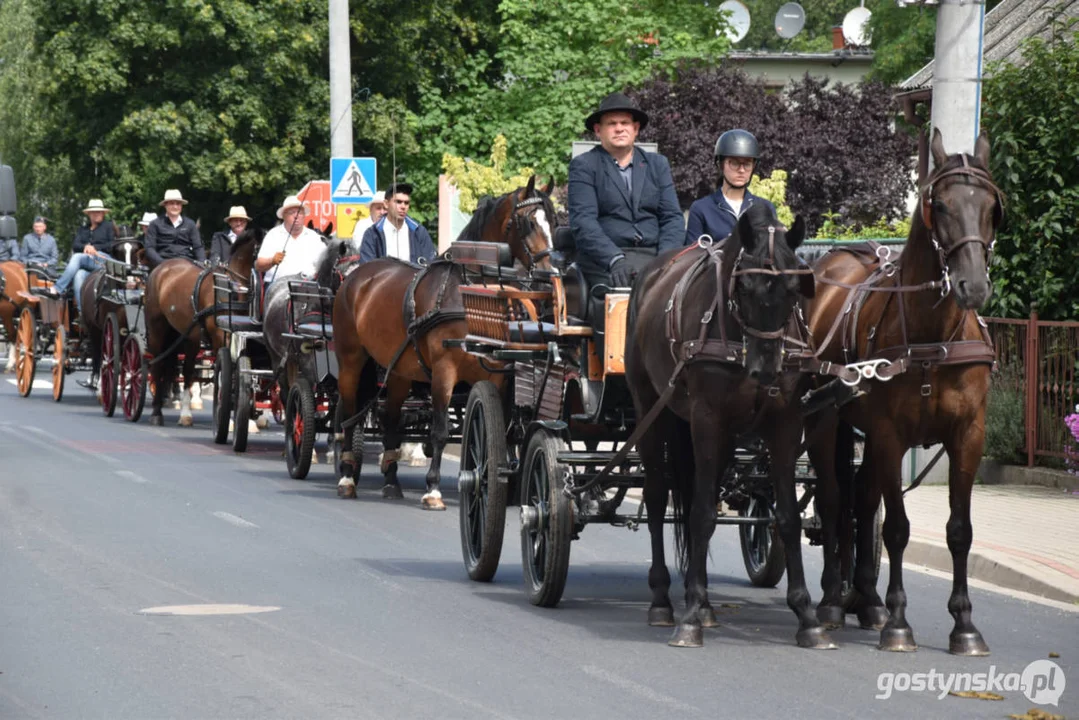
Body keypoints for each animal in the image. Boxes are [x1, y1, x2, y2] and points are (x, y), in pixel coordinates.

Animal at [143, 227, 263, 425]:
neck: (230, 286)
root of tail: (161, 269)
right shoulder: (220, 337)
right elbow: (224, 374)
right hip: (156, 330)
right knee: (158, 364)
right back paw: (156, 413)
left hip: (187, 335)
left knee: (186, 370)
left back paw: (185, 412)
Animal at [334, 177, 556, 509]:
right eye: (529, 222)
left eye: (554, 220)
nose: (549, 274)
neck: (470, 294)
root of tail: (356, 275)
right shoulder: (444, 371)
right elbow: (438, 431)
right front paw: (433, 489)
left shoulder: (496, 376)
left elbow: (497, 431)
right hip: (351, 361)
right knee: (350, 415)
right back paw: (347, 476)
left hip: (399, 370)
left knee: (391, 420)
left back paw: (391, 481)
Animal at [625, 204, 824, 651]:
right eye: (744, 287)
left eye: (794, 290)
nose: (765, 369)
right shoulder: (707, 418)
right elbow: (700, 514)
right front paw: (690, 618)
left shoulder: (785, 424)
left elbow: (787, 517)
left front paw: (807, 615)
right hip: (651, 409)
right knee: (658, 497)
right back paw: (664, 599)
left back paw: (699, 601)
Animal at [802, 126, 1001, 656]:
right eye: (941, 204)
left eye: (991, 206)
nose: (973, 286)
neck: (933, 336)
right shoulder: (892, 435)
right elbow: (896, 528)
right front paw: (897, 622)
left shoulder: (968, 436)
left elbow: (959, 530)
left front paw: (964, 624)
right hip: (825, 421)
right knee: (834, 501)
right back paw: (832, 599)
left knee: (861, 499)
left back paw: (864, 598)